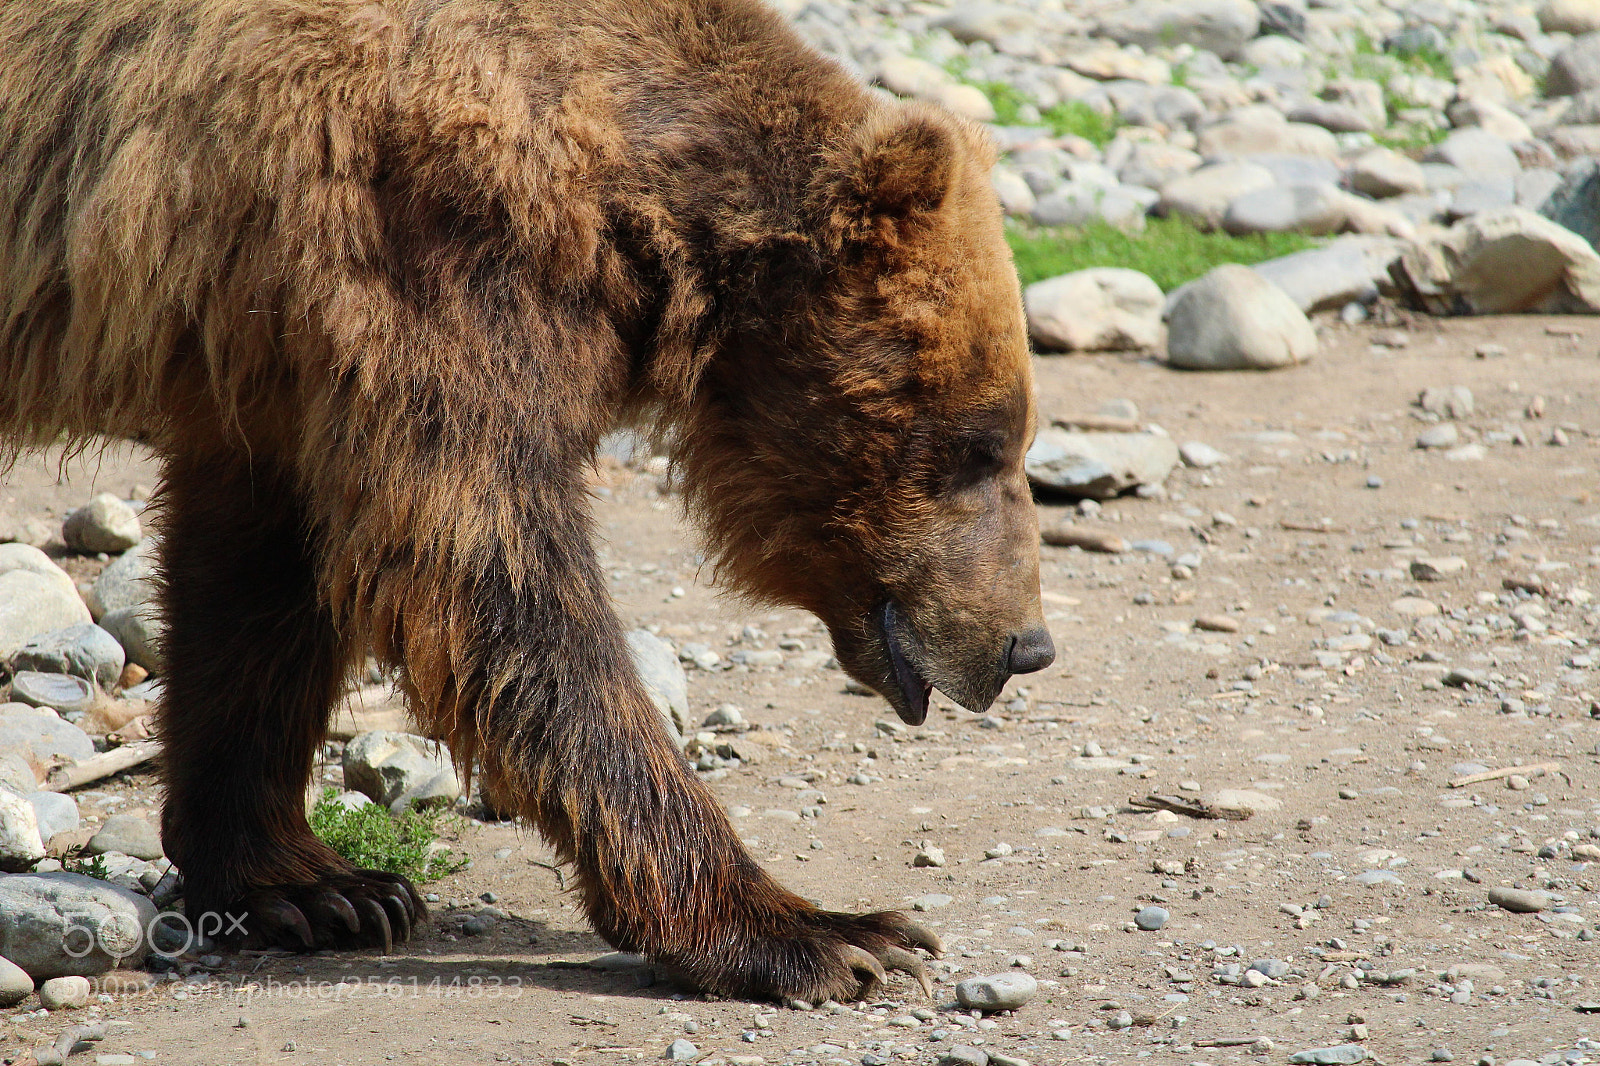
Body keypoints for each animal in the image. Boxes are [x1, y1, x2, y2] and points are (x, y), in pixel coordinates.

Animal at [0, 0, 1054, 1003]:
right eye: (982, 442)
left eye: (1009, 437)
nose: (1026, 645)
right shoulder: (434, 256)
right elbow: (490, 576)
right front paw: (827, 935)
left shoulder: (268, 353)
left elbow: (257, 588)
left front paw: (317, 886)